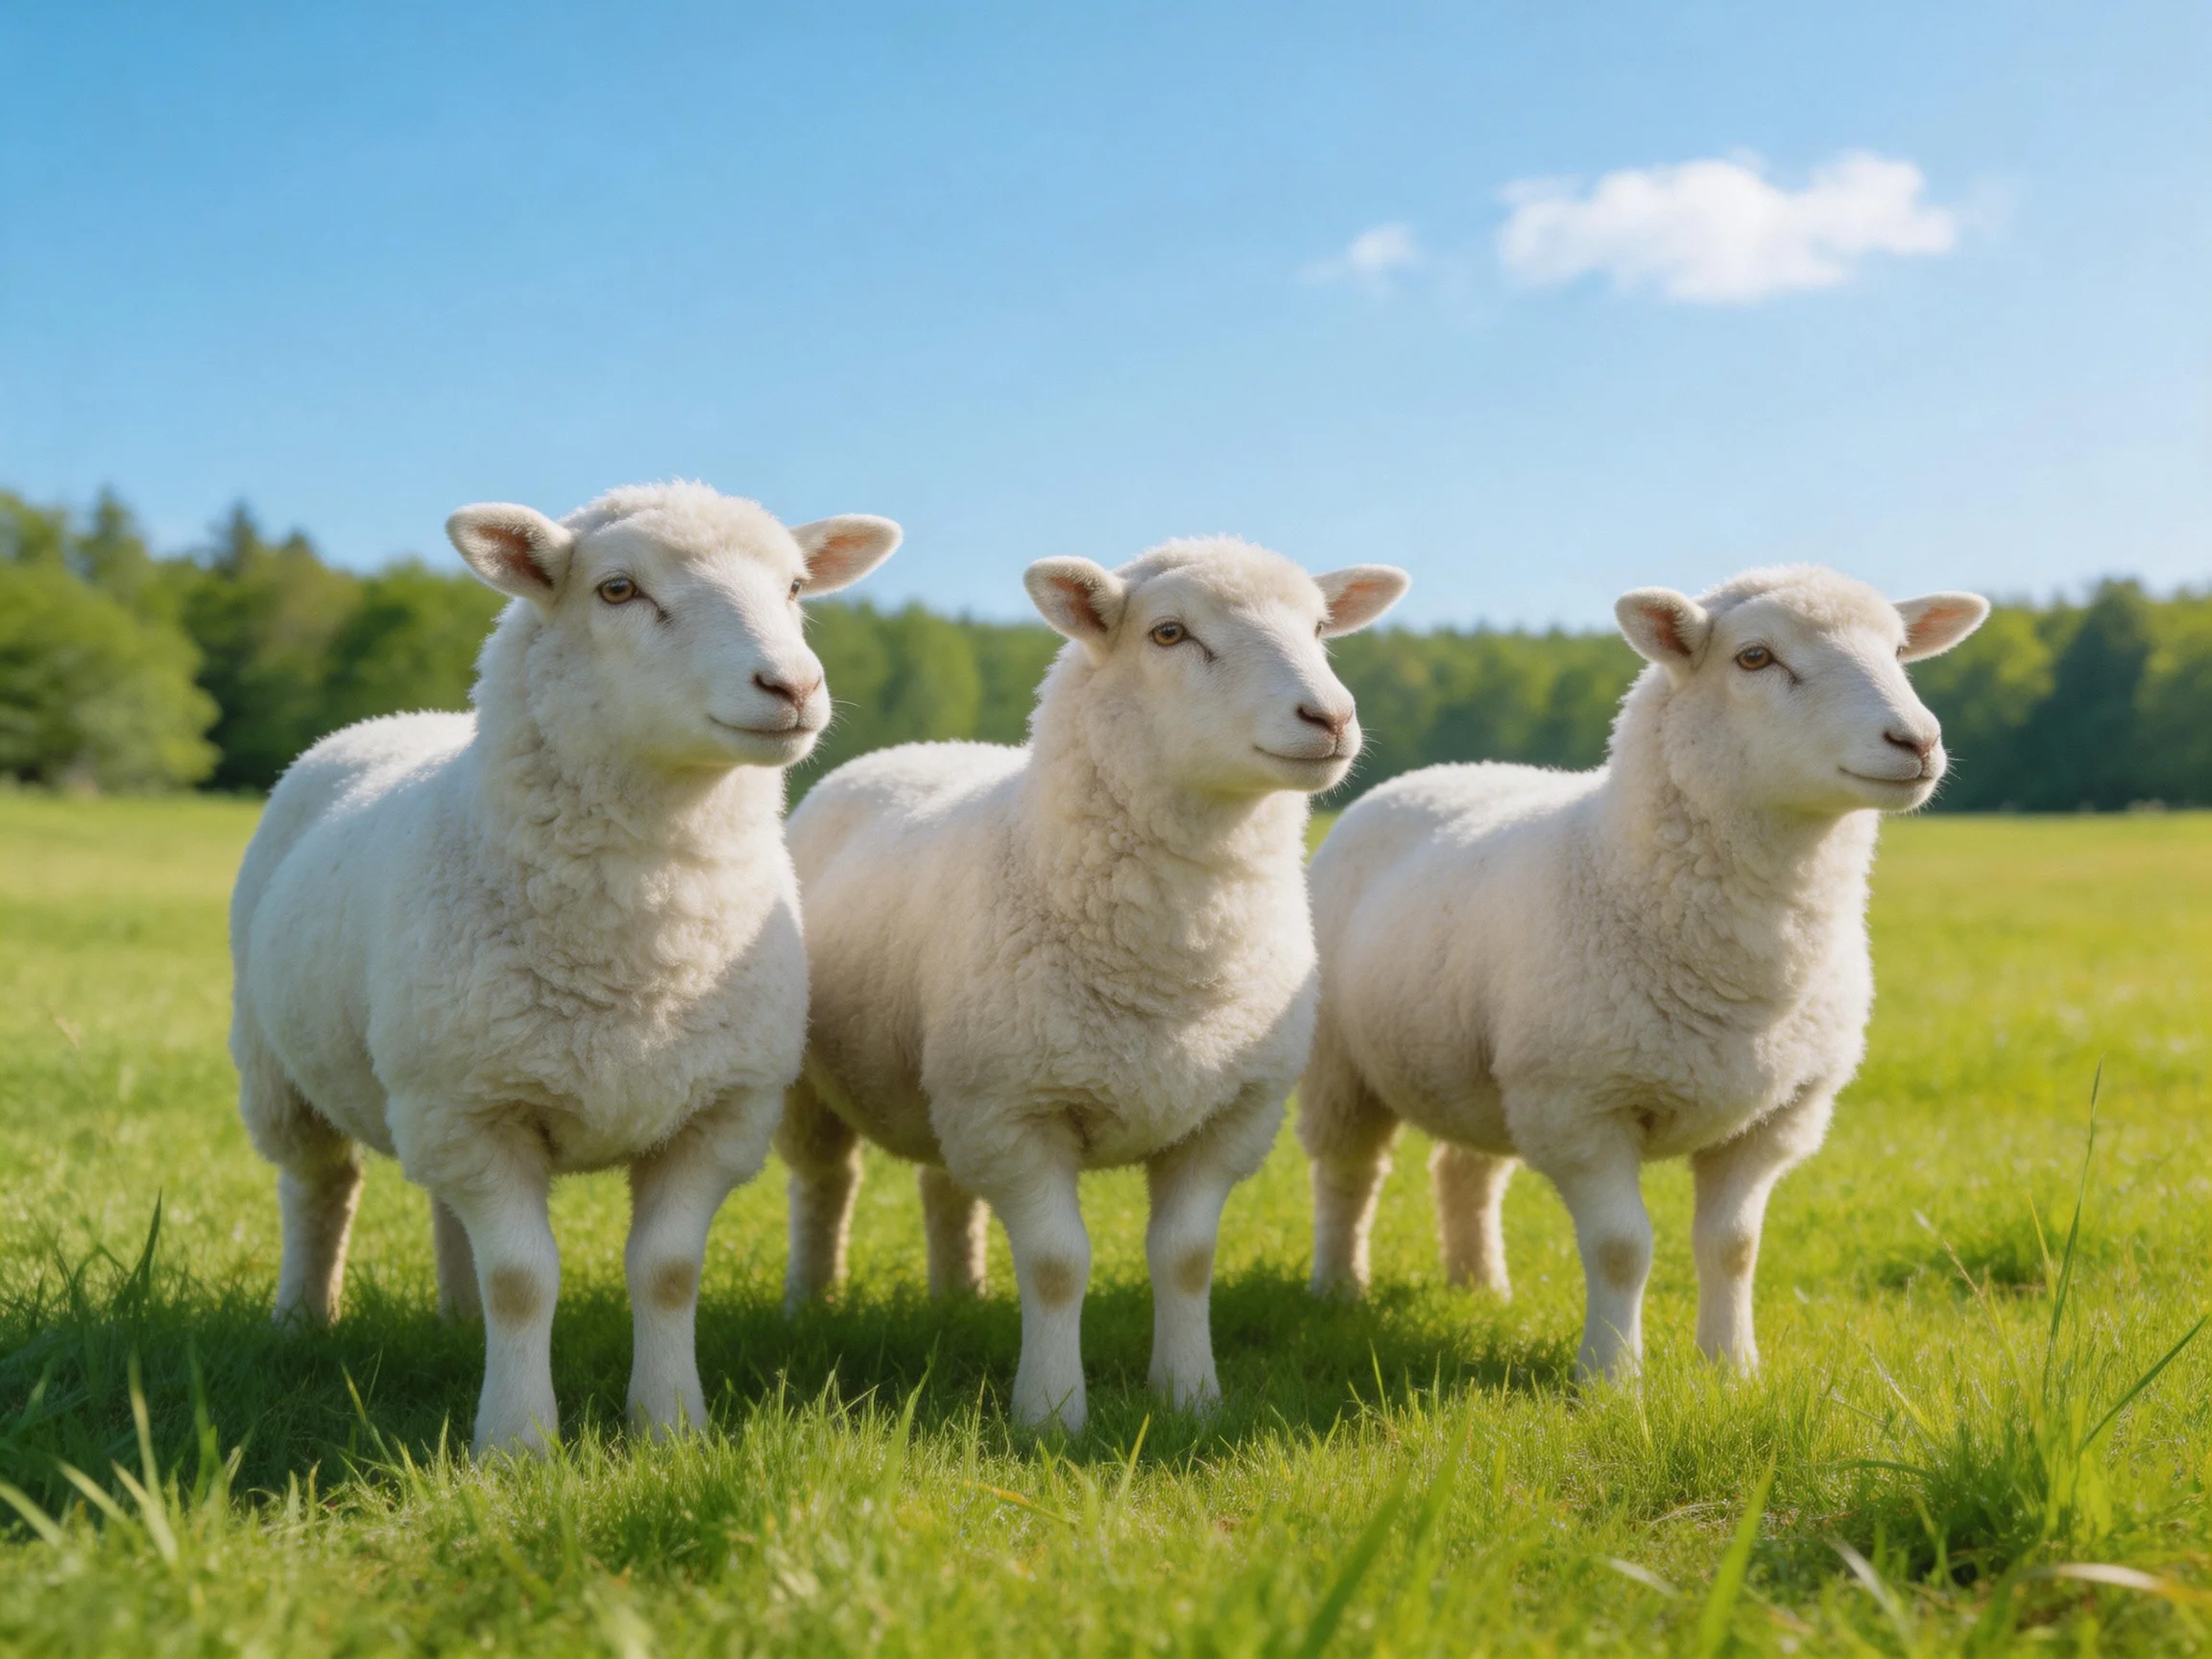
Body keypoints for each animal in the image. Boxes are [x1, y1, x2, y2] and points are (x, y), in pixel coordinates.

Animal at [228, 481, 900, 1455]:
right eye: (617, 589)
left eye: (797, 587)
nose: (793, 687)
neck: (638, 952)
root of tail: (399, 721)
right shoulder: (476, 1111)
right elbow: (523, 1280)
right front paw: (516, 1443)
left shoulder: (714, 1113)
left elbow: (666, 1272)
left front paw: (669, 1427)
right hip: (284, 1072)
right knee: (319, 1189)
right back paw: (301, 1320)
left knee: (442, 1209)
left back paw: (455, 1321)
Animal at [778, 538, 1409, 1431]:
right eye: (1169, 633)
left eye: (1320, 627)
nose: (1330, 718)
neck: (1171, 969)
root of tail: (917, 747)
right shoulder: (1017, 1112)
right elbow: (1055, 1264)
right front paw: (1050, 1412)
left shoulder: (1227, 1117)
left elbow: (1186, 1259)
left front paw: (1190, 1397)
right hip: (822, 1084)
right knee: (824, 1184)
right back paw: (811, 1301)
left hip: (953, 1080)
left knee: (943, 1185)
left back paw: (959, 1296)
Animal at [1298, 565, 1988, 1381]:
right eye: (1754, 658)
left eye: (1899, 650)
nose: (1918, 740)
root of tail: (1438, 772)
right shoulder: (1580, 1107)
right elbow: (1621, 1249)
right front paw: (1611, 1379)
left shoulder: (1777, 1115)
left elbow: (1734, 1247)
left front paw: (1732, 1368)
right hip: (1341, 1064)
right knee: (1348, 1175)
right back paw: (1339, 1288)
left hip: (1475, 1067)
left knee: (1464, 1173)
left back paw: (1480, 1286)